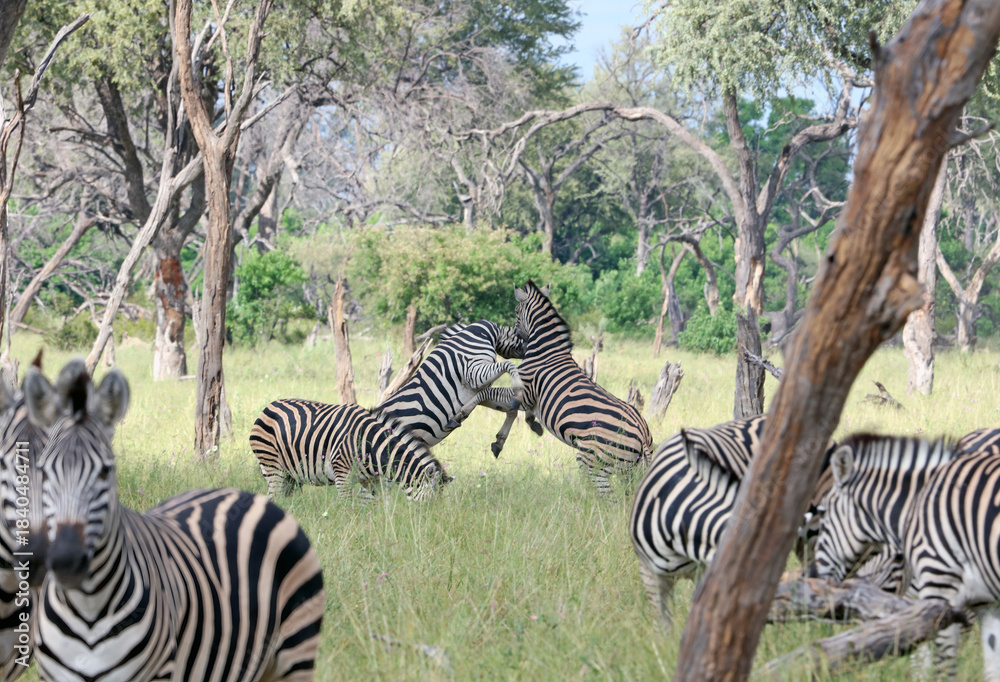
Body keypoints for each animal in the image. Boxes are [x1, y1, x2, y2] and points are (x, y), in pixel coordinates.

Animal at [28, 360, 326, 681]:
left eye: (106, 471)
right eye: (42, 471)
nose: (66, 561)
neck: (89, 610)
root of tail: (247, 497)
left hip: (295, 651)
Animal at [251, 398, 453, 500]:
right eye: (430, 502)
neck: (372, 447)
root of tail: (269, 405)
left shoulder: (371, 481)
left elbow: (377, 506)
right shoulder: (342, 475)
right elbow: (347, 508)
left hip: (290, 475)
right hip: (272, 466)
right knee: (274, 496)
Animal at [373, 320, 537, 457]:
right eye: (521, 337)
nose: (530, 351)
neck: (485, 334)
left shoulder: (479, 388)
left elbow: (508, 407)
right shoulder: (474, 373)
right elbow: (509, 365)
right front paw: (519, 387)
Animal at [513, 281, 653, 494]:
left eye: (515, 311)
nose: (517, 338)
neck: (547, 350)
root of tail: (644, 431)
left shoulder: (524, 392)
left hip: (593, 462)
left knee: (606, 496)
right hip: (630, 473)